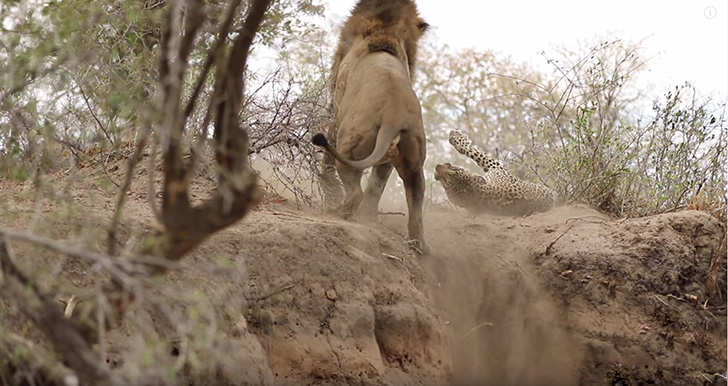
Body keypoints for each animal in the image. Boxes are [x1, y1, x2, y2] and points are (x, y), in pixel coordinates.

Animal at [312, 0, 430, 253]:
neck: (386, 31)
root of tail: (393, 117)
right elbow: (377, 184)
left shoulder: (336, 107)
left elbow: (328, 154)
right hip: (413, 161)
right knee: (412, 203)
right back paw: (418, 245)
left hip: (351, 142)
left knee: (354, 191)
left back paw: (336, 211)